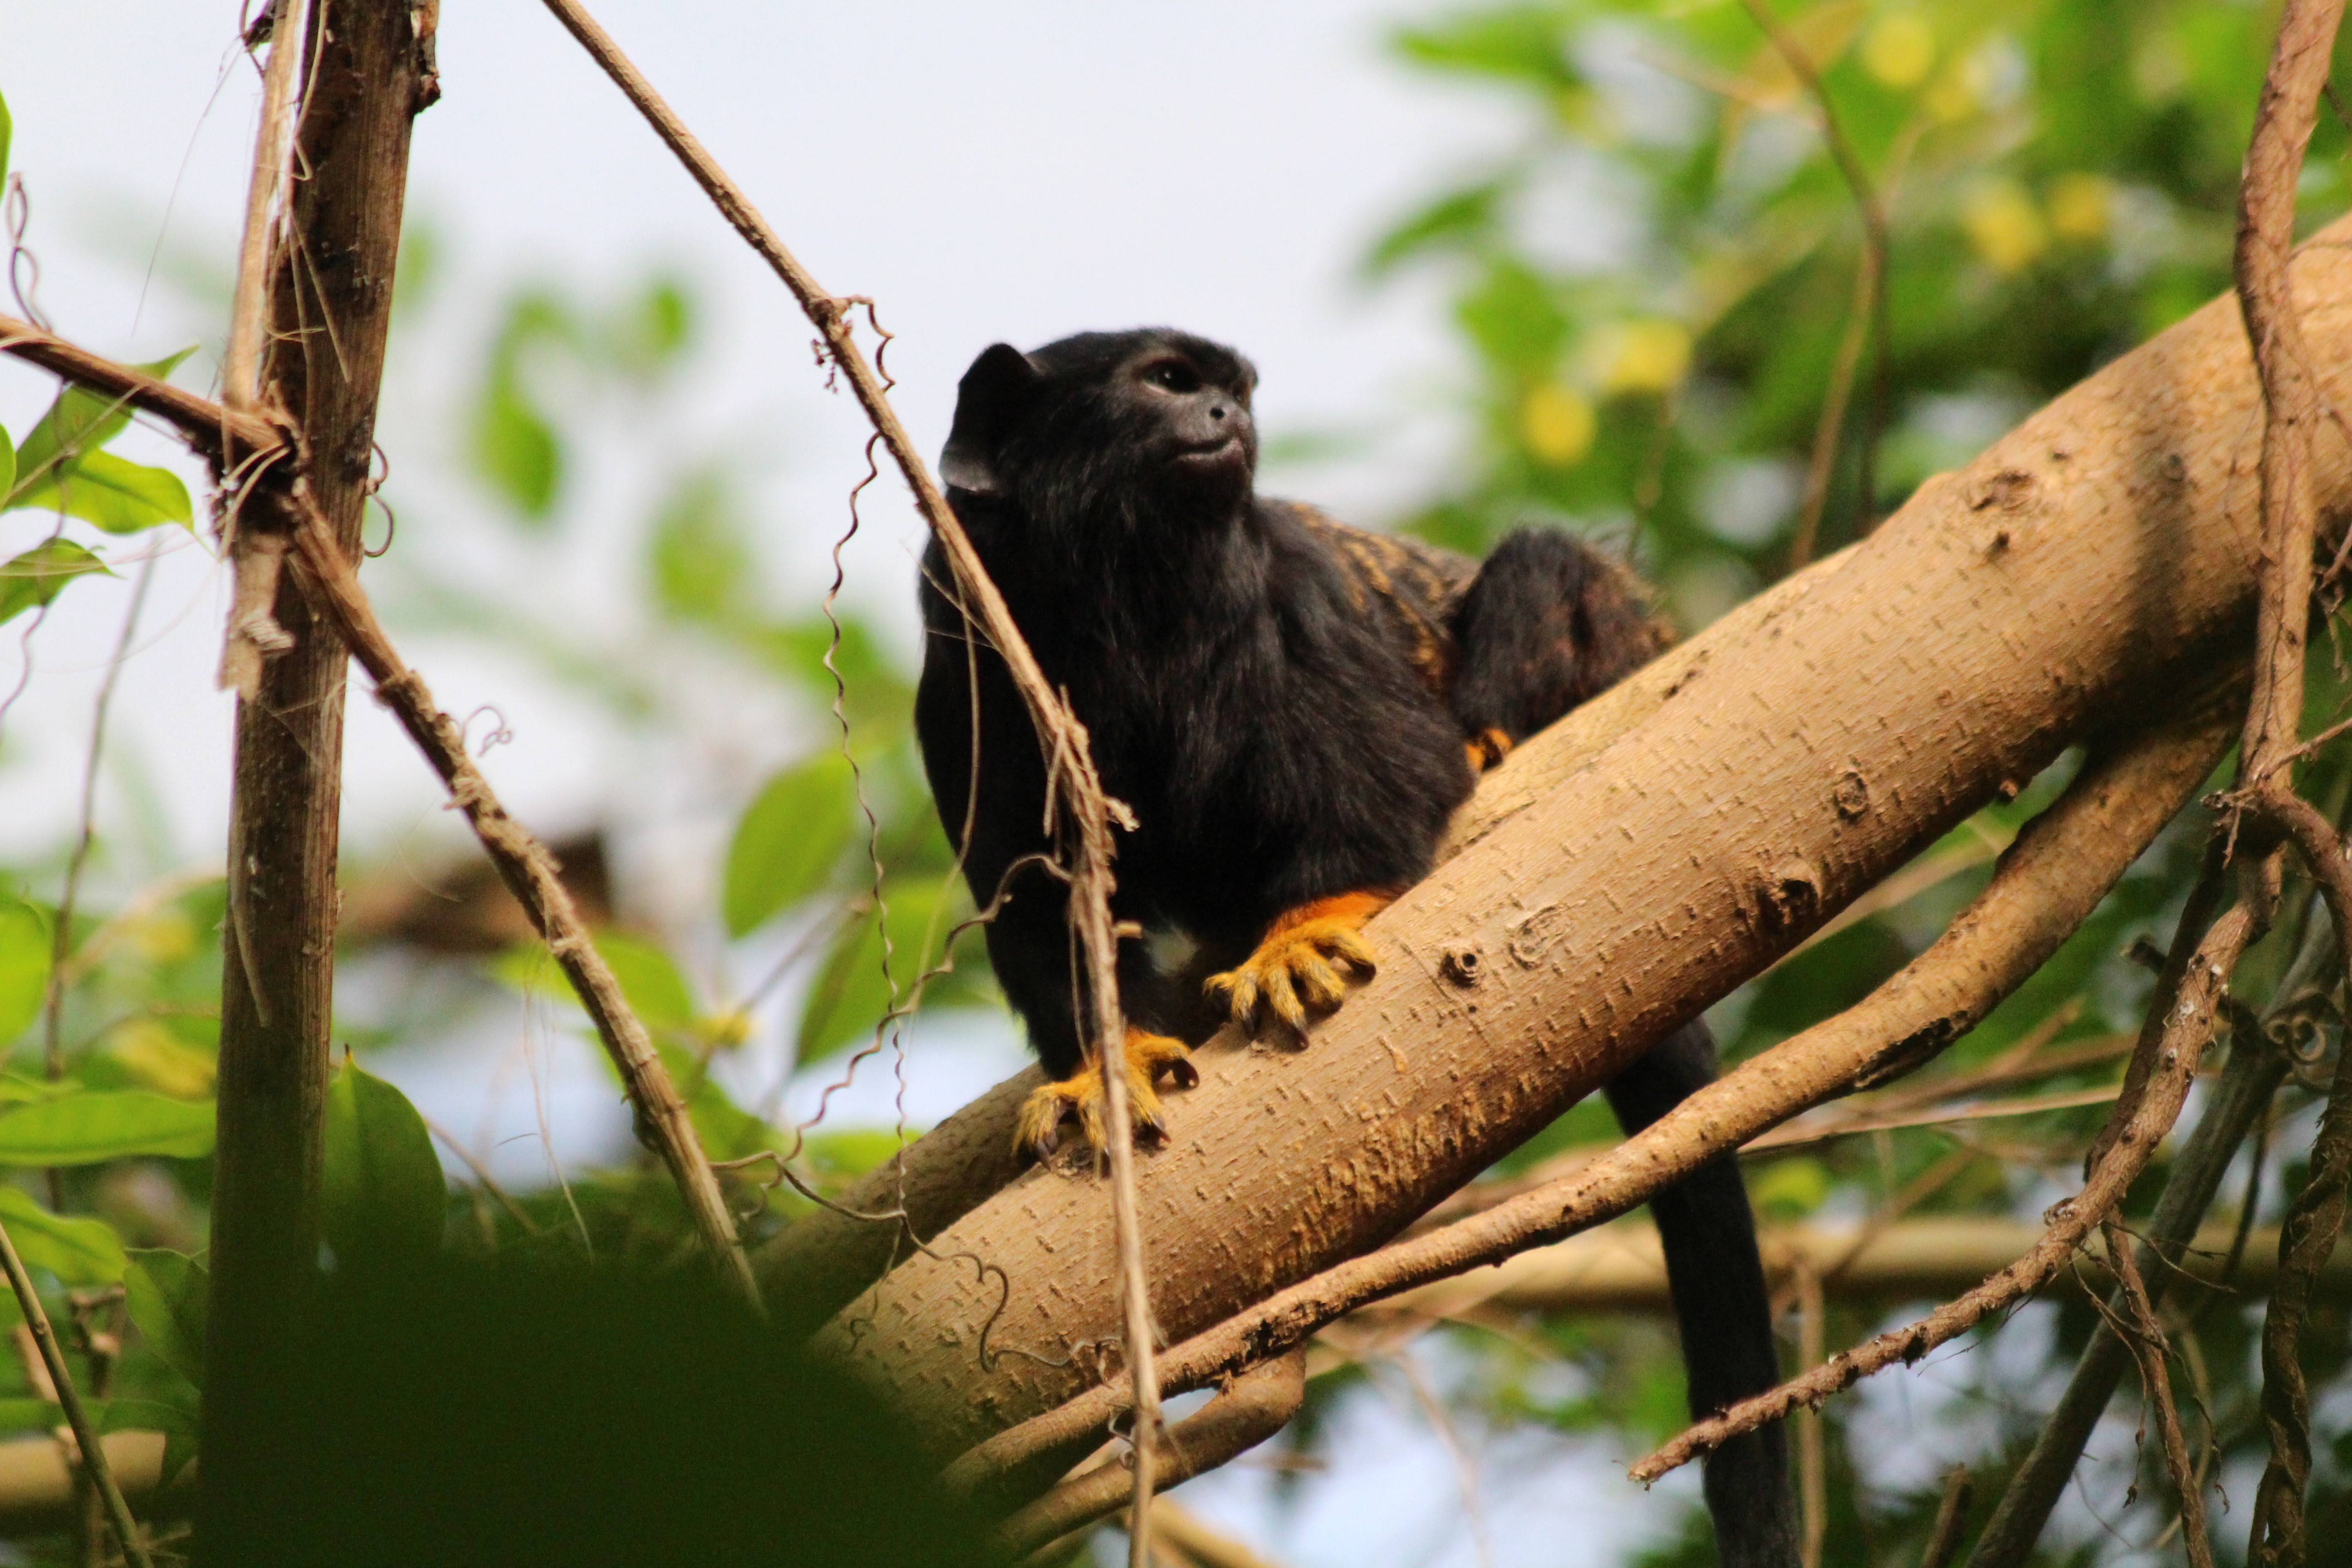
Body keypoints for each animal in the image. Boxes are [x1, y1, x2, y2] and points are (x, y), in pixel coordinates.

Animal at [913, 328, 1799, 1568]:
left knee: (1541, 566)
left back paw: (1494, 733)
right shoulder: (964, 661)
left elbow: (1384, 774)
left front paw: (1308, 930)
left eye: (1229, 388)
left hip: (1619, 647)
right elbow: (1045, 910)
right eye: (1168, 383)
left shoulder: (1289, 588)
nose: (1228, 416)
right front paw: (1104, 1063)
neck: (1112, 596)